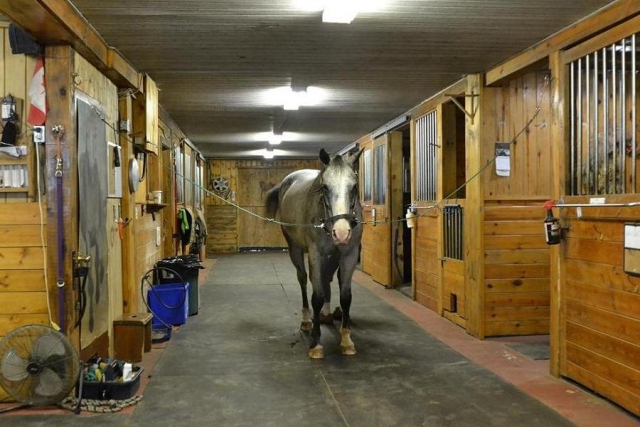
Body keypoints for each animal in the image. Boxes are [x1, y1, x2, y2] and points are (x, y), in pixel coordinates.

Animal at [264, 149, 362, 360]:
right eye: (324, 187)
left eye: (354, 186)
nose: (342, 233)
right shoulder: (315, 254)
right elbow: (316, 296)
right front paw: (316, 344)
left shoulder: (349, 255)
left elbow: (345, 297)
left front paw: (346, 340)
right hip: (295, 249)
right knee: (303, 279)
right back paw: (307, 320)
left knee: (326, 280)